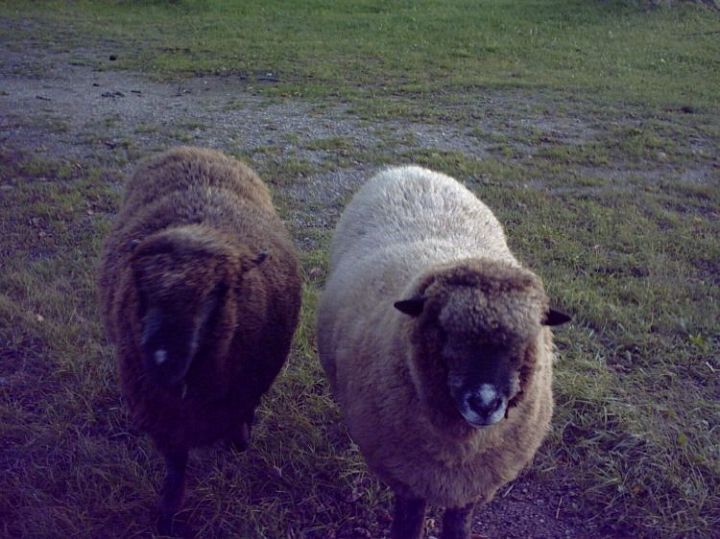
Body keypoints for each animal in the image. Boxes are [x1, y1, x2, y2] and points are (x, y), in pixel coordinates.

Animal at [316, 167, 568, 539]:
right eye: (444, 331)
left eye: (525, 340)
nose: (484, 403)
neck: (461, 448)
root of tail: (410, 169)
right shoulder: (408, 478)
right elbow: (407, 525)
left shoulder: (475, 485)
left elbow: (458, 526)